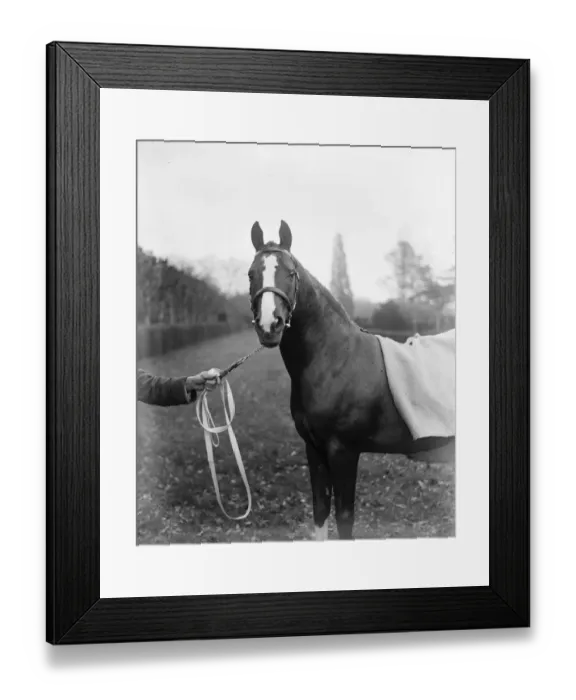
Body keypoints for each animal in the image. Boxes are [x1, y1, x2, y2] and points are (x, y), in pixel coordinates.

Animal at [247, 219, 455, 541]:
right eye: (251, 273)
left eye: (291, 273)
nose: (270, 325)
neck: (334, 358)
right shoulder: (315, 449)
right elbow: (320, 512)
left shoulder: (343, 451)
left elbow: (345, 519)